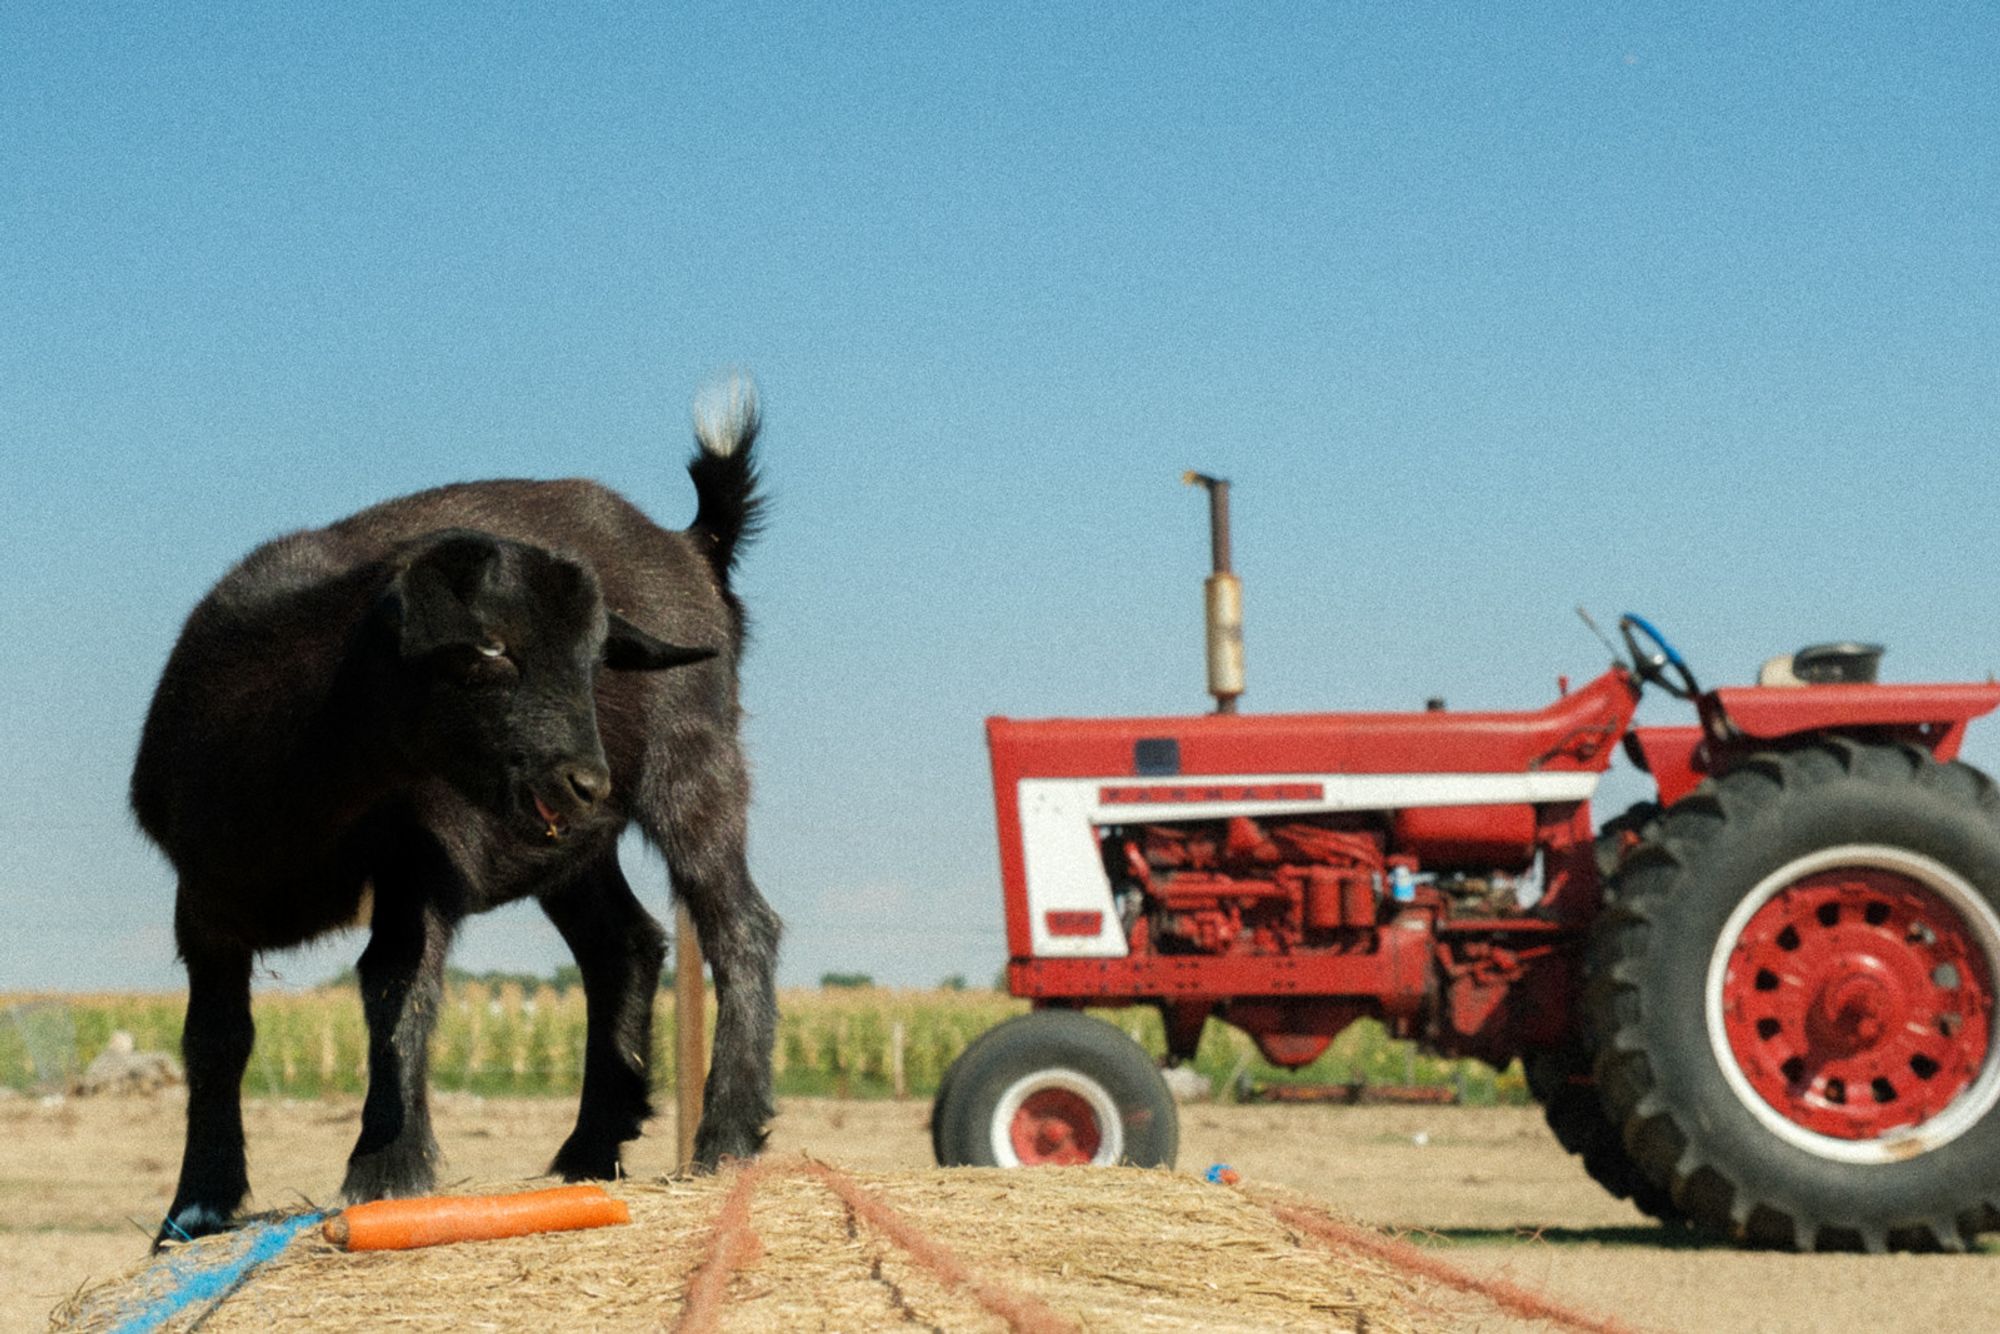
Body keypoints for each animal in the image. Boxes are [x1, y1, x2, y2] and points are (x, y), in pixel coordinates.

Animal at [133, 380, 780, 1248]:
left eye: (592, 659)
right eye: (489, 648)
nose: (587, 778)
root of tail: (692, 542)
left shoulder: (419, 855)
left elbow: (395, 989)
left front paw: (387, 1170)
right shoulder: (203, 898)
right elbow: (215, 1040)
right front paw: (195, 1206)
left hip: (693, 753)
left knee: (740, 925)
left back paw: (726, 1136)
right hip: (567, 846)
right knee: (625, 945)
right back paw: (590, 1148)